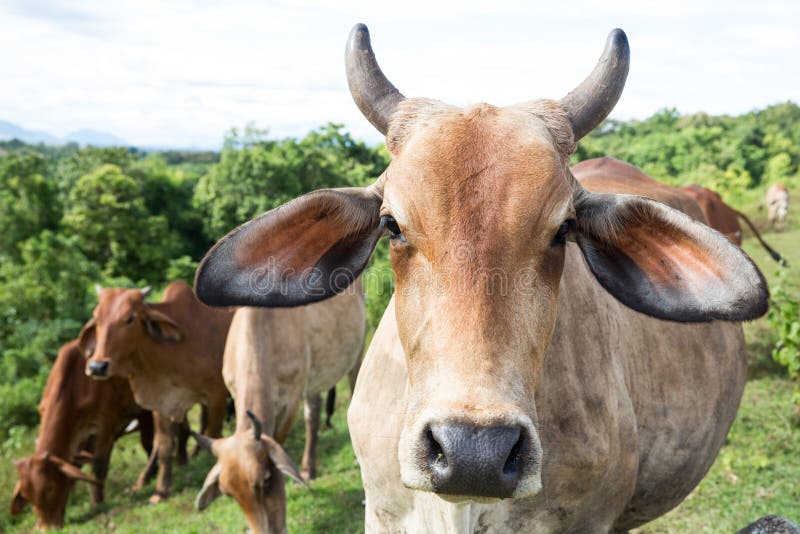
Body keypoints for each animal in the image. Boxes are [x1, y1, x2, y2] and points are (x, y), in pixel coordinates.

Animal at [10, 339, 154, 530]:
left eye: (50, 488)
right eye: (27, 495)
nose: (48, 528)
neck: (76, 385)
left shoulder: (106, 426)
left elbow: (99, 465)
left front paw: (97, 502)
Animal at [82, 281, 233, 503]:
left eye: (130, 318)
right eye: (97, 317)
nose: (97, 366)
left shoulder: (217, 394)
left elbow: (213, 433)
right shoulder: (161, 402)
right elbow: (164, 445)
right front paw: (161, 490)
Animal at [191, 282, 365, 533]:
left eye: (265, 480)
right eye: (229, 494)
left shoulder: (290, 401)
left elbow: (278, 446)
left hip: (356, 354)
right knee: (313, 413)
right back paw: (308, 469)